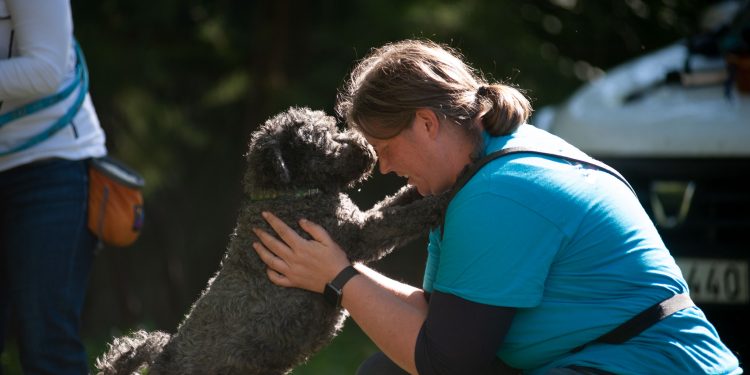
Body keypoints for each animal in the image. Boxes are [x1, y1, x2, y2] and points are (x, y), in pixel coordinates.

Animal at [94, 106, 446, 375]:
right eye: (324, 138)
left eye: (334, 128)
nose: (368, 148)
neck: (285, 194)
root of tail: (162, 357)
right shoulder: (358, 235)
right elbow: (401, 218)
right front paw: (440, 201)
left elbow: (397, 201)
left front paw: (428, 187)